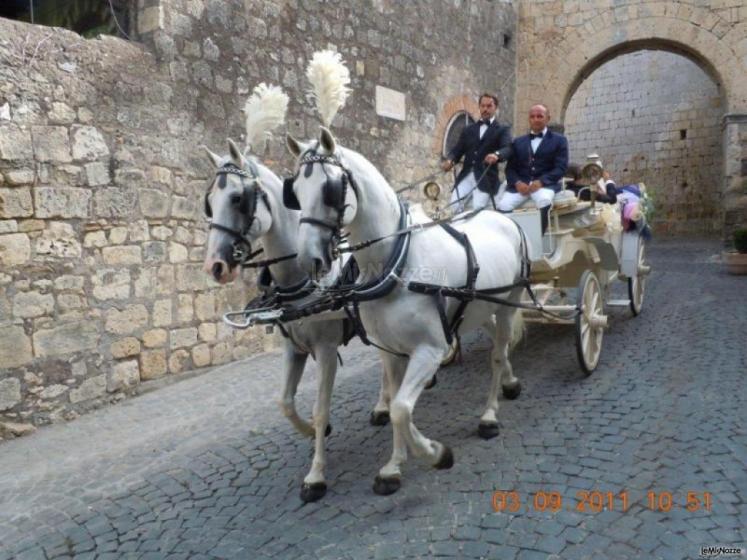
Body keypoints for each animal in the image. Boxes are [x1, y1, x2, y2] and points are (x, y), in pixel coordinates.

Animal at [202, 140, 398, 504]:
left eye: (237, 199)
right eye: (209, 203)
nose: (215, 266)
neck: (298, 283)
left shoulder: (326, 350)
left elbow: (320, 409)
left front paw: (316, 475)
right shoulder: (293, 350)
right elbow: (285, 404)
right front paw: (310, 430)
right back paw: (383, 405)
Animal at [286, 129, 524, 496]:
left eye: (331, 189)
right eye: (294, 192)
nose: (309, 261)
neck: (397, 262)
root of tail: (499, 215)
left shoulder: (430, 350)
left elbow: (399, 408)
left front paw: (436, 454)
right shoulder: (390, 350)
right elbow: (398, 401)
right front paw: (394, 465)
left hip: (509, 302)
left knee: (497, 356)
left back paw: (489, 415)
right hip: (483, 308)